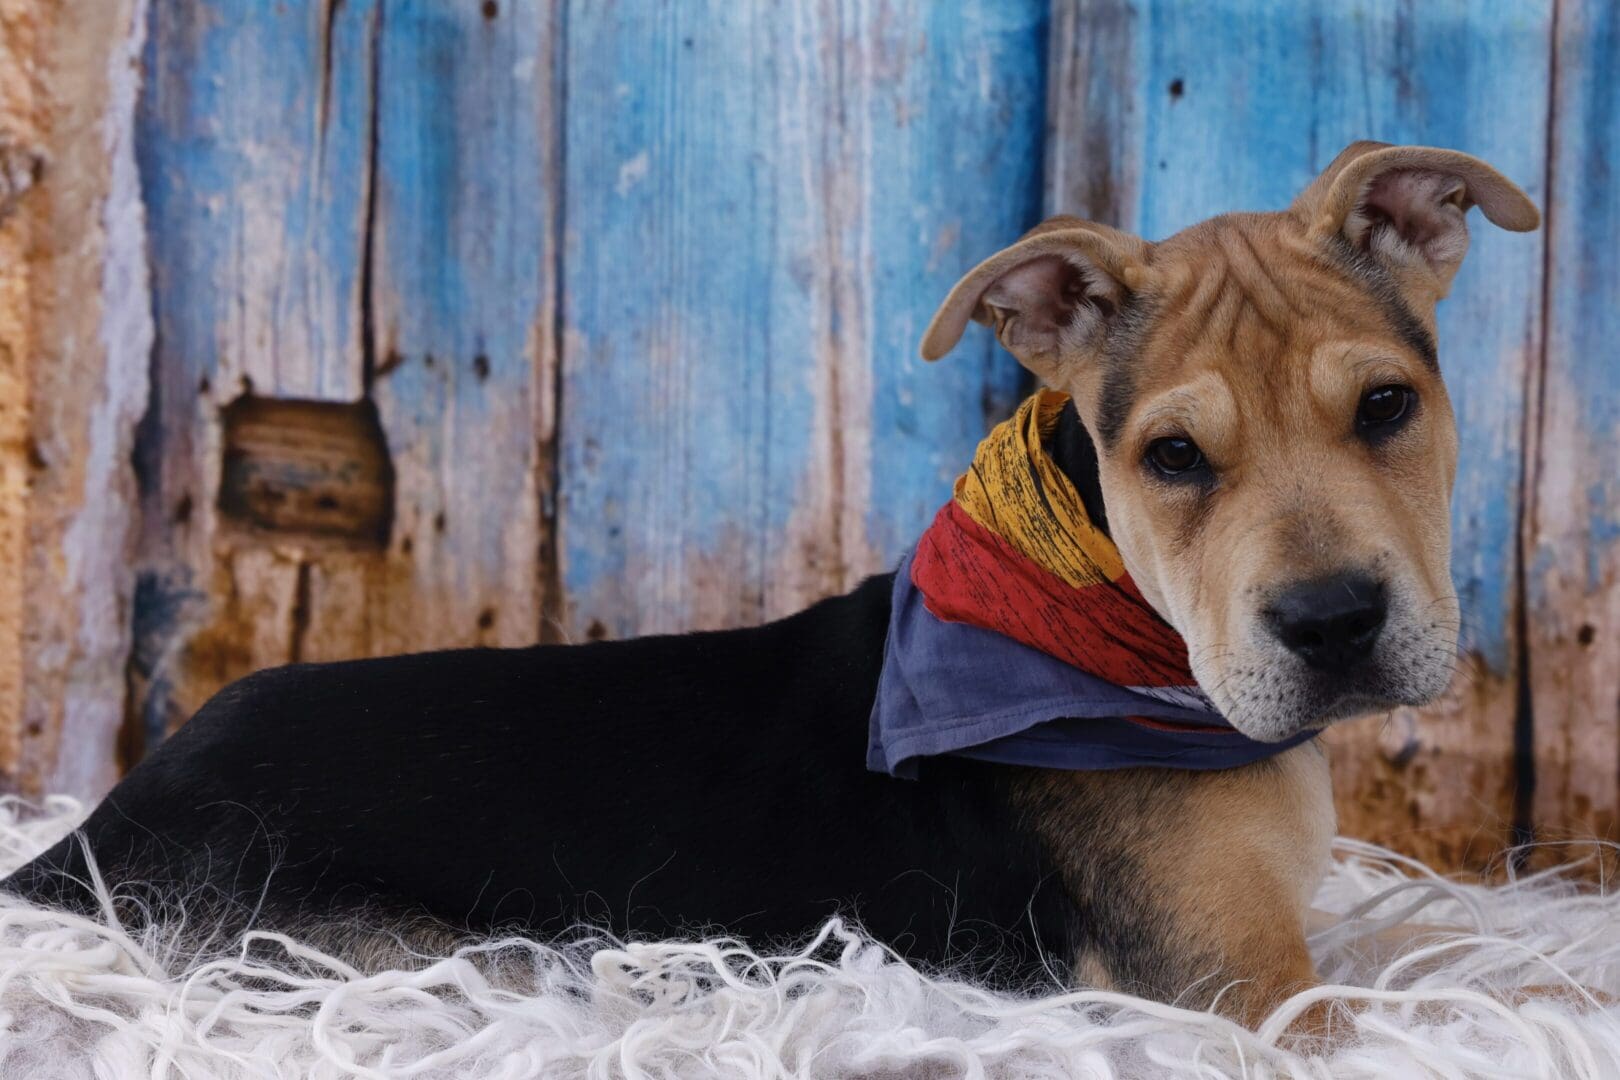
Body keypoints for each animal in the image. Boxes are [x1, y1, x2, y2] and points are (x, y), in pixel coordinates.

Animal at [3, 141, 1542, 1029]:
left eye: (1388, 407)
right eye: (1171, 457)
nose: (1335, 624)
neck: (1132, 644)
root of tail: (86, 843)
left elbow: (1466, 965)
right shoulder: (1245, 985)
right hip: (421, 954)